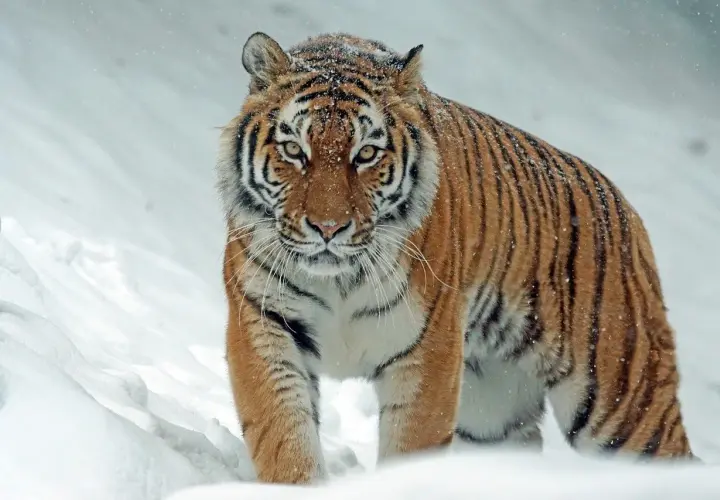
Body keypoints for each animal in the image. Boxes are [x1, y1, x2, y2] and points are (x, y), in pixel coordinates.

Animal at [215, 31, 695, 484]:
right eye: (294, 150)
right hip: (492, 414)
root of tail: (626, 209)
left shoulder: (429, 349)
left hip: (623, 402)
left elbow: (411, 448)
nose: (328, 228)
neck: (339, 280)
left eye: (366, 154)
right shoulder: (263, 322)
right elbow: (283, 434)